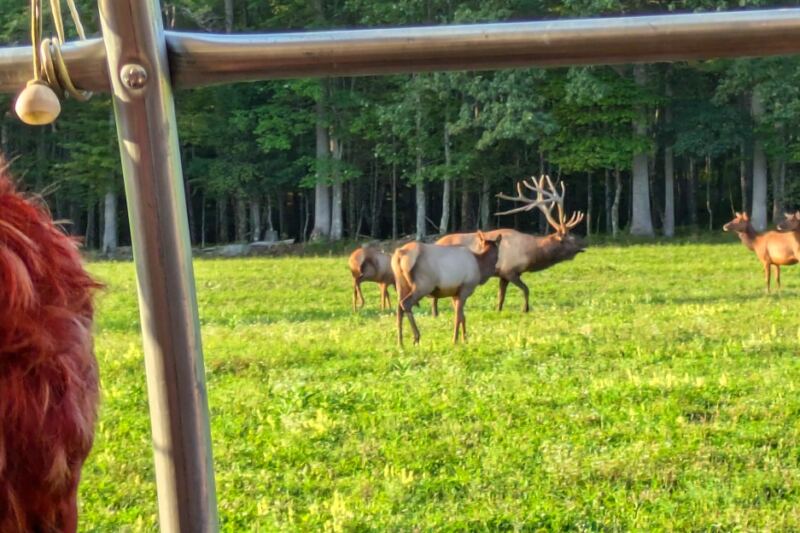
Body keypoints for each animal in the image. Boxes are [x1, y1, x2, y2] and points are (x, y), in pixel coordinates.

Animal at [434, 175, 585, 313]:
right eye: (570, 239)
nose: (582, 247)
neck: (530, 254)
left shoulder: (503, 275)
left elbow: (501, 296)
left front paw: (498, 310)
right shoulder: (509, 270)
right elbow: (526, 289)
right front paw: (525, 309)